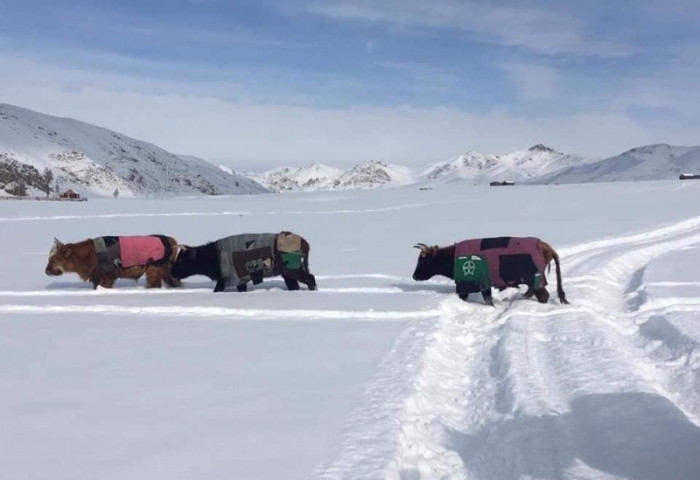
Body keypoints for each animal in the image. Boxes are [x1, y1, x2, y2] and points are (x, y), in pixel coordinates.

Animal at [45, 236, 182, 288]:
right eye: (49, 258)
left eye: (54, 258)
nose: (46, 270)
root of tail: (171, 240)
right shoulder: (96, 277)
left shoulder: (106, 275)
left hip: (155, 268)